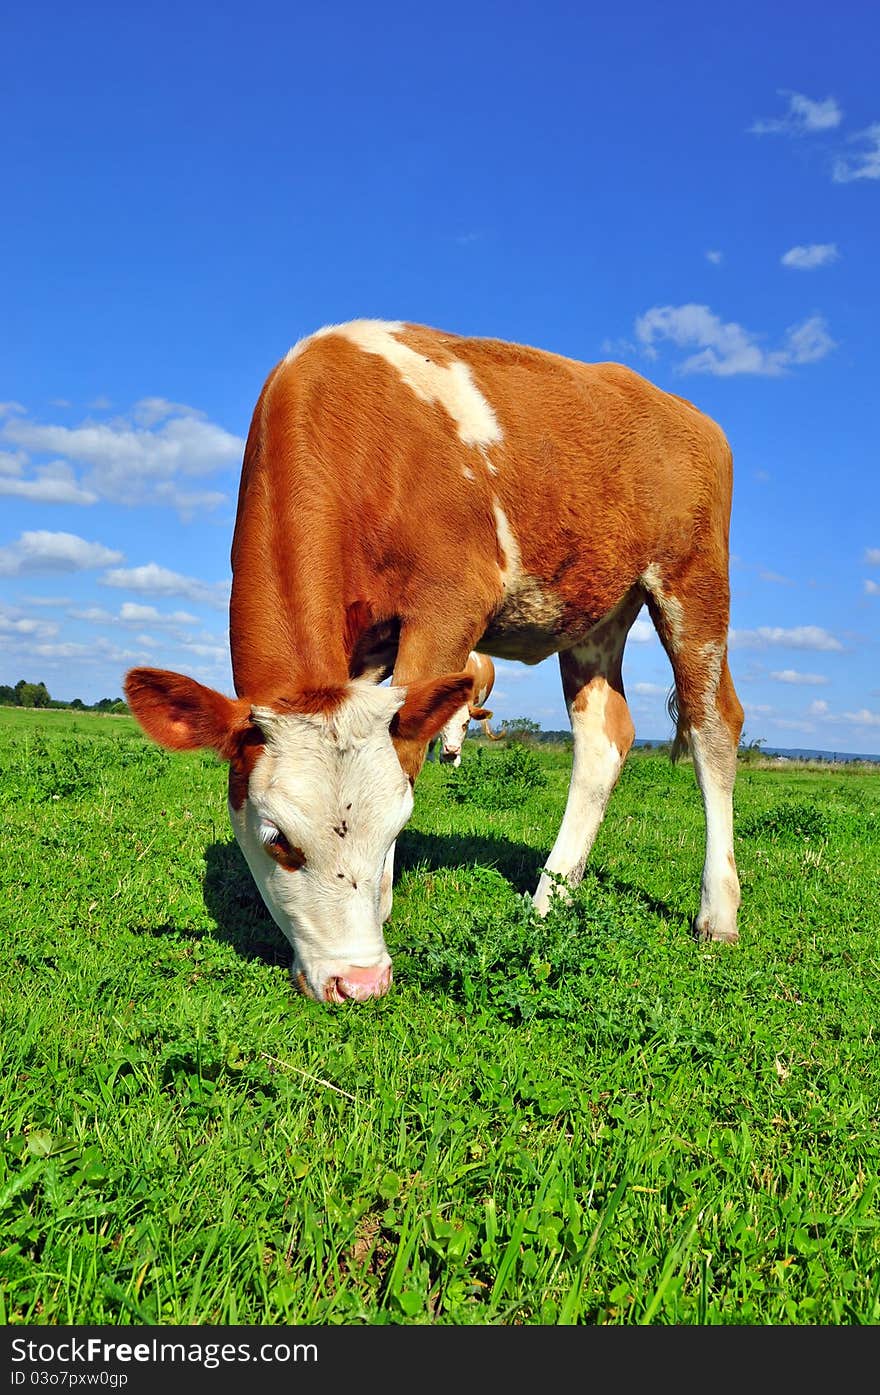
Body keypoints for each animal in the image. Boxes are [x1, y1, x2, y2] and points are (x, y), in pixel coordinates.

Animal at [124, 319, 741, 1004]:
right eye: (277, 841)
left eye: (398, 827)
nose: (359, 981)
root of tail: (686, 411)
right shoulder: (362, 650)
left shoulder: (448, 606)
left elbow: (410, 752)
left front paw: (385, 903)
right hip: (596, 610)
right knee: (604, 738)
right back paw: (548, 901)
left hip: (695, 582)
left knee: (714, 723)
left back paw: (717, 913)